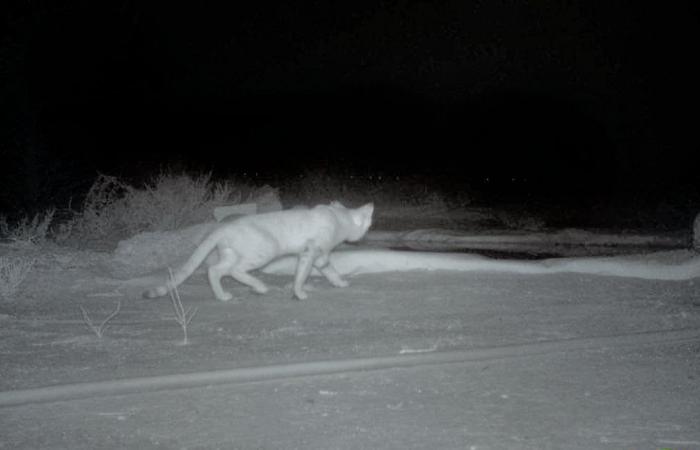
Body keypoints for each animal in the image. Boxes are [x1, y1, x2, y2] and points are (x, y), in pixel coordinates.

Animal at [142, 201, 372, 300]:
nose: (365, 236)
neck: (339, 217)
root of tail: (223, 227)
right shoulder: (310, 252)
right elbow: (302, 275)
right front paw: (299, 293)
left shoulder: (319, 256)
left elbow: (329, 269)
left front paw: (340, 283)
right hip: (264, 251)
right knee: (234, 271)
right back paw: (259, 287)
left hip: (230, 254)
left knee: (214, 270)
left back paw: (222, 296)